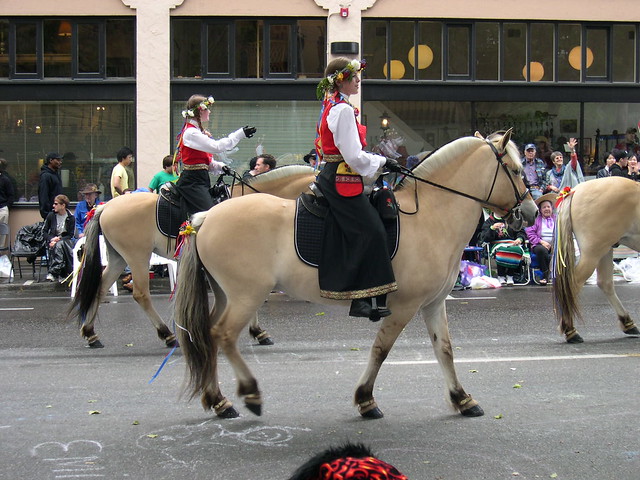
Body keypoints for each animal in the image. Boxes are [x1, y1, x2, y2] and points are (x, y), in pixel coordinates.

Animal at [69, 165, 316, 348]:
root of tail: (105, 207)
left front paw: (257, 331)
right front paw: (258, 331)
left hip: (118, 257)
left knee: (100, 288)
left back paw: (91, 333)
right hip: (136, 255)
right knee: (141, 294)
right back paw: (167, 335)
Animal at [172, 129, 536, 418]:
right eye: (516, 170)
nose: (531, 211)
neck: (431, 215)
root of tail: (206, 217)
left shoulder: (433, 303)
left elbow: (444, 349)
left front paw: (462, 399)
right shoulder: (404, 306)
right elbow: (381, 350)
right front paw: (365, 399)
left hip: (226, 294)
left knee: (207, 335)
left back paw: (218, 401)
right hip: (246, 295)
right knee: (222, 335)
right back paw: (249, 393)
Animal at [552, 178, 640, 344]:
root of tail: (575, 191)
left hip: (605, 249)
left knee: (605, 283)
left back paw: (627, 322)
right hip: (593, 253)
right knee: (573, 285)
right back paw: (570, 330)